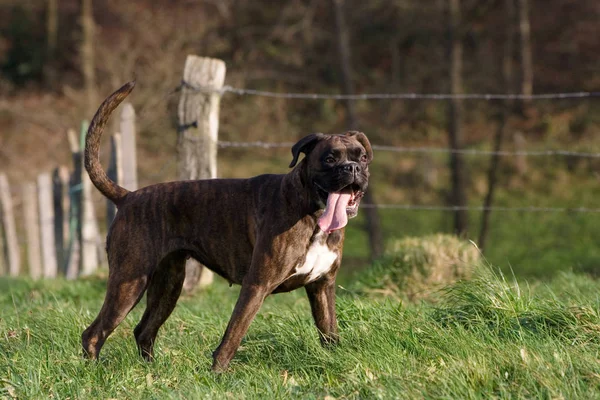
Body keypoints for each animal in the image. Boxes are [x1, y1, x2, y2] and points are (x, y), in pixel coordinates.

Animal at [82, 81, 372, 372]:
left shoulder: (322, 286)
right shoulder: (256, 285)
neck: (311, 210)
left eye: (363, 158)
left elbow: (329, 331)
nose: (352, 167)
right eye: (330, 159)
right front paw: (216, 374)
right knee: (94, 333)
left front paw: (335, 362)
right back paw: (94, 373)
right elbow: (233, 334)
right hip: (129, 282)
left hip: (168, 285)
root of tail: (128, 196)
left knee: (144, 330)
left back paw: (151, 371)